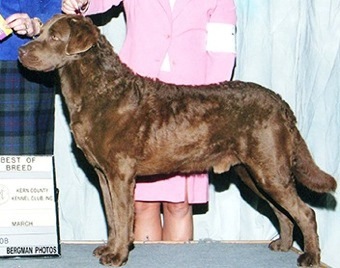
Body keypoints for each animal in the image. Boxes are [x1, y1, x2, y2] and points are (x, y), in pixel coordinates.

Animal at [19, 15, 338, 268]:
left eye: (55, 37)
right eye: (39, 32)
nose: (22, 50)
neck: (100, 91)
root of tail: (282, 104)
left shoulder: (120, 173)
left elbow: (122, 217)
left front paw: (118, 255)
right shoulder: (102, 173)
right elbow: (111, 216)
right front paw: (108, 248)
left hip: (269, 168)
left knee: (305, 212)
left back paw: (310, 257)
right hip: (253, 173)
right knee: (283, 212)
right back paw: (282, 246)